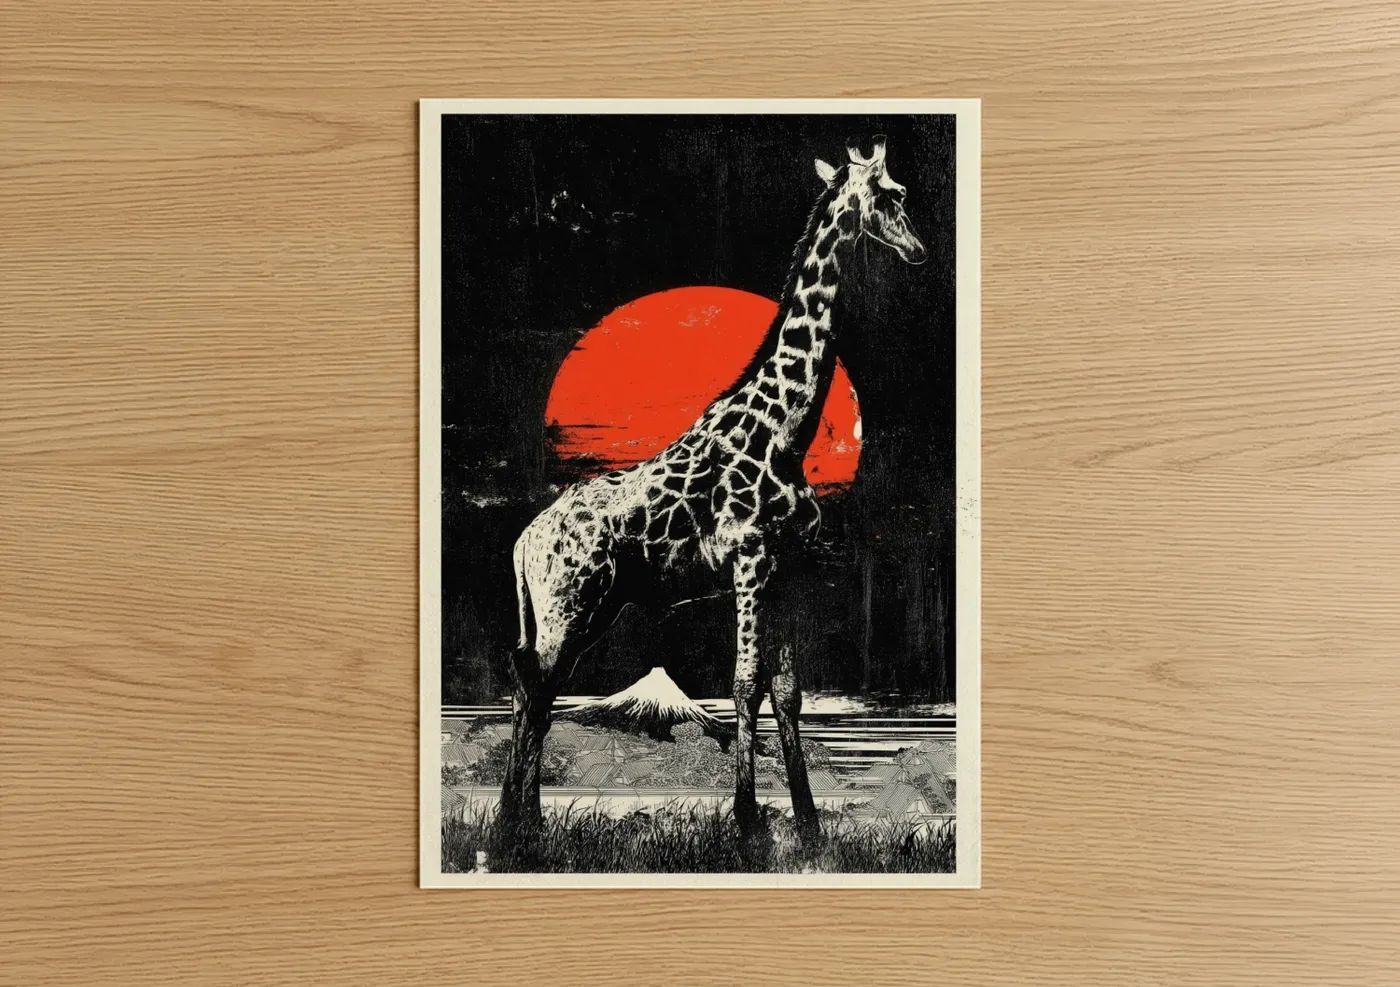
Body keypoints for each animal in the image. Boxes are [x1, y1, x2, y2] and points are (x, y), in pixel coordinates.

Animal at [502, 137, 927, 844]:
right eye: (890, 196)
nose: (918, 249)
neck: (789, 428)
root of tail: (520, 545)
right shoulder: (749, 558)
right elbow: (745, 681)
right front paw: (747, 820)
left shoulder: (787, 565)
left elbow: (787, 690)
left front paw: (808, 825)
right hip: (569, 603)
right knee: (536, 684)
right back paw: (520, 824)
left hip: (579, 608)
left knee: (531, 682)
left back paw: (521, 819)